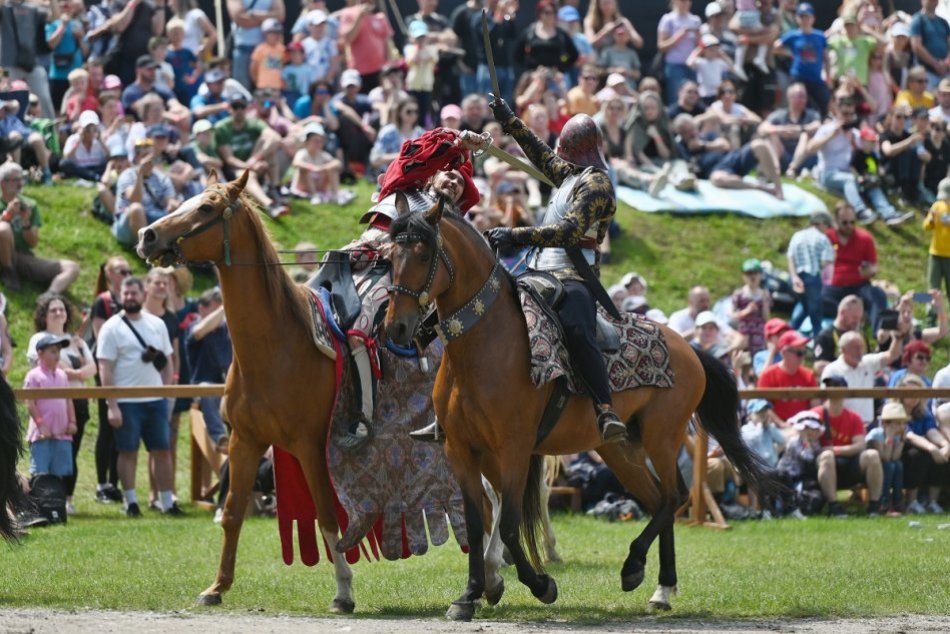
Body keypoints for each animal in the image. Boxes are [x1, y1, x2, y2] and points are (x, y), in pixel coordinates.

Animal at [134, 170, 356, 608]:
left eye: (206, 207)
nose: (147, 235)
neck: (274, 348)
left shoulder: (310, 446)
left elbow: (325, 512)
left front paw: (343, 589)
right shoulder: (245, 441)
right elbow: (233, 511)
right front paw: (217, 587)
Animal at [386, 196, 780, 616]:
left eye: (424, 253)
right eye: (388, 255)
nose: (396, 327)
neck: (485, 346)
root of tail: (688, 347)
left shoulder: (514, 449)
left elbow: (508, 524)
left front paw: (541, 584)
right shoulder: (459, 449)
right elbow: (476, 525)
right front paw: (470, 594)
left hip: (662, 437)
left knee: (674, 496)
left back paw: (639, 569)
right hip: (619, 450)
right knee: (659, 498)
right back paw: (658, 584)